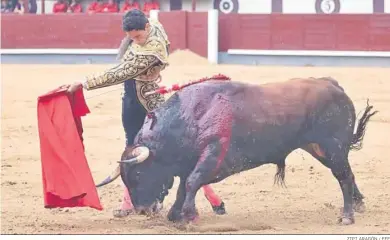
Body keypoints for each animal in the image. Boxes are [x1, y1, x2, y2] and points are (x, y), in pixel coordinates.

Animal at [96, 75, 378, 225]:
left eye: (139, 174)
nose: (142, 210)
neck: (190, 116)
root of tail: (332, 84)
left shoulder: (214, 152)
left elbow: (192, 182)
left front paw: (188, 215)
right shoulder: (190, 161)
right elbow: (183, 185)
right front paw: (177, 214)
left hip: (332, 146)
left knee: (343, 177)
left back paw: (347, 216)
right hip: (319, 148)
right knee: (347, 174)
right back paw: (359, 204)